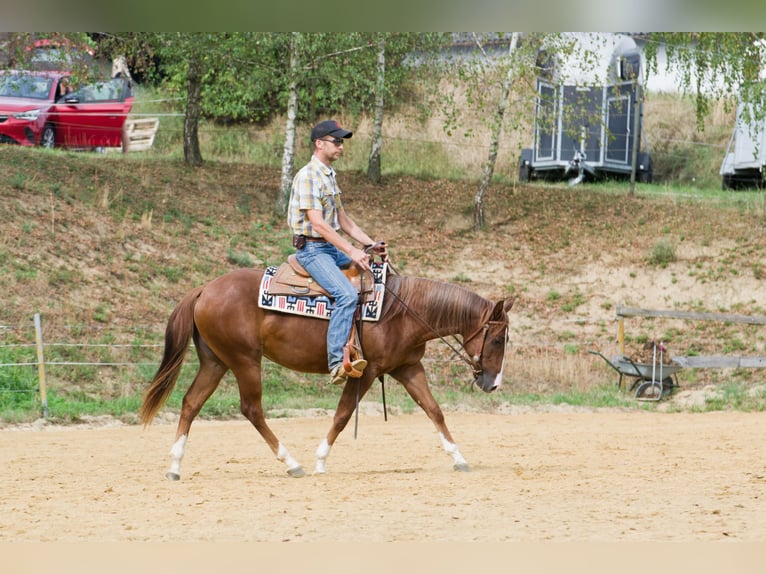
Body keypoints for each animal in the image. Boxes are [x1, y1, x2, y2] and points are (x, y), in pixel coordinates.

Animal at [142, 268, 516, 480]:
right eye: (499, 339)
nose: (493, 383)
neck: (402, 312)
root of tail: (204, 289)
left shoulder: (407, 368)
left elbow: (434, 410)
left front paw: (459, 458)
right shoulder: (366, 372)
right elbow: (343, 414)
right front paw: (320, 460)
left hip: (216, 362)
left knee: (191, 403)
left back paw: (174, 466)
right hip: (245, 360)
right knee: (251, 409)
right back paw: (291, 463)